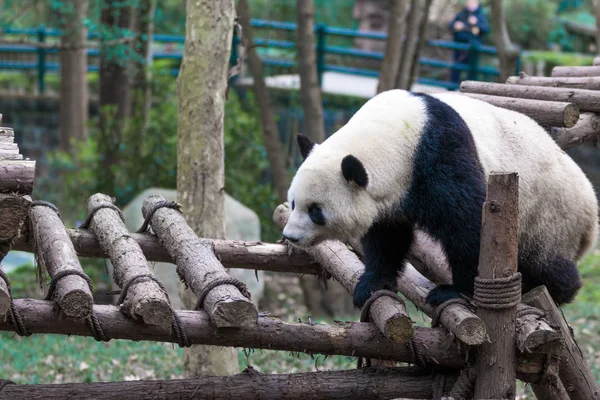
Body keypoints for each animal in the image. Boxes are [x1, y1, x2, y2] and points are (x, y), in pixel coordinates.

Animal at [282, 89, 600, 308]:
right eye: (294, 202)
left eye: (316, 211)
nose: (290, 236)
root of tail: (590, 204)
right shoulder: (391, 196)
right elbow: (387, 237)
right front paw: (371, 284)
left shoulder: (440, 155)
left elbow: (470, 224)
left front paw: (453, 290)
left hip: (550, 212)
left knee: (546, 260)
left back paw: (553, 288)